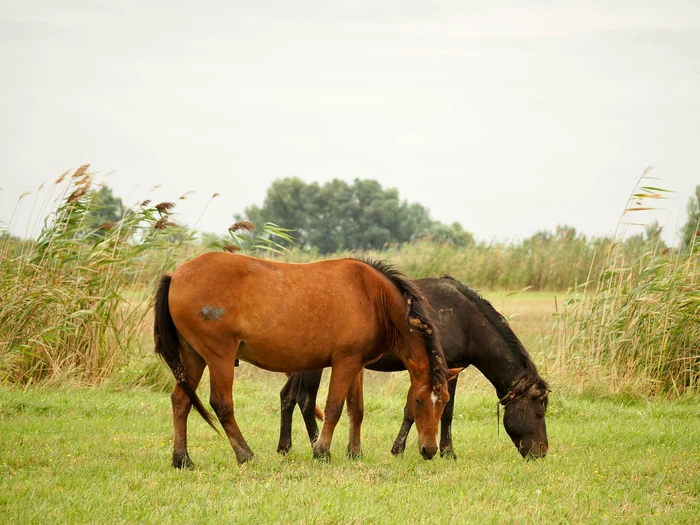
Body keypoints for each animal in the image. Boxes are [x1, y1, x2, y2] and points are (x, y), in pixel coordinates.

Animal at [153, 251, 454, 466]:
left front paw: (353, 453)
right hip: (219, 357)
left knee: (180, 401)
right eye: (418, 401)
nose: (429, 450)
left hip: (193, 356)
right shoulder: (345, 362)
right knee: (221, 404)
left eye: (444, 402)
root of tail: (175, 275)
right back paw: (245, 454)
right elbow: (333, 408)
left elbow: (355, 409)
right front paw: (322, 451)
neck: (373, 297)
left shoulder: (357, 365)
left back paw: (182, 459)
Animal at [276, 274, 548, 458]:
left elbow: (436, 411)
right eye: (539, 413)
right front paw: (419, 450)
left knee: (289, 396)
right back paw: (314, 444)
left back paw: (285, 446)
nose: (542, 452)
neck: (465, 320)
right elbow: (428, 411)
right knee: (305, 401)